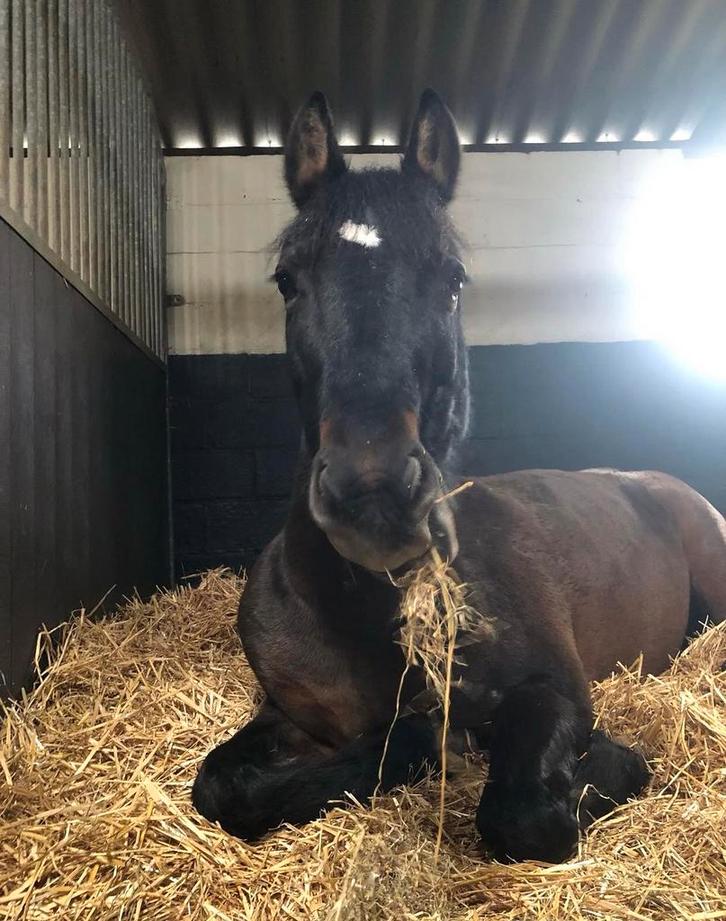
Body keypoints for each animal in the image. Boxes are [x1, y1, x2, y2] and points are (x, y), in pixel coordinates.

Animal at [191, 90, 726, 863]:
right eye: (288, 280)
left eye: (453, 279)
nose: (372, 489)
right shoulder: (293, 713)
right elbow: (223, 786)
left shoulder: (552, 688)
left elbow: (526, 813)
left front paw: (612, 761)